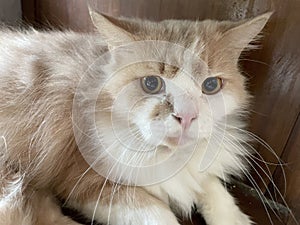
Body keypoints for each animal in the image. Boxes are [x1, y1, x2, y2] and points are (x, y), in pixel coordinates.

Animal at [0, 9, 274, 225]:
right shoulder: (86, 181)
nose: (186, 117)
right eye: (152, 83)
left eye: (211, 85)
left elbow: (212, 185)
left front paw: (235, 218)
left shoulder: (196, 168)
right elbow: (161, 214)